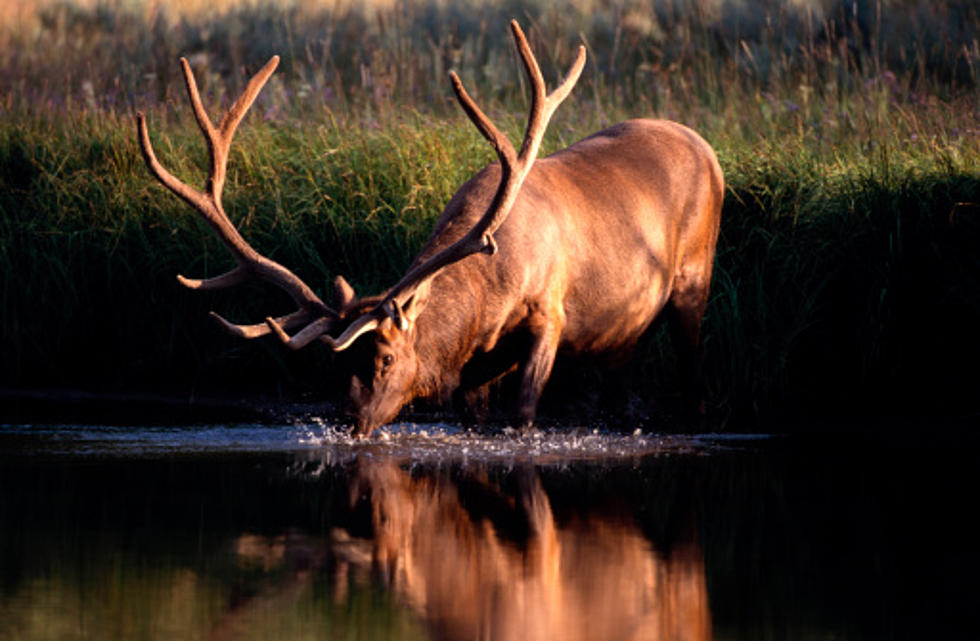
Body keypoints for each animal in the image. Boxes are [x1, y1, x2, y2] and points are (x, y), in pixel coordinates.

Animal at [134, 22, 724, 438]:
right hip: (625, 336)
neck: (489, 296)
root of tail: (705, 146)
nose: (351, 423)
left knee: (696, 382)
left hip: (693, 282)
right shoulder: (478, 363)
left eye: (387, 358)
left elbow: (524, 415)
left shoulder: (549, 316)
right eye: (332, 366)